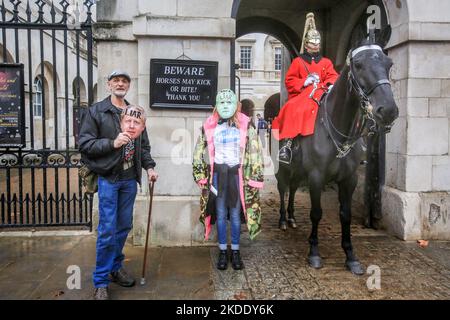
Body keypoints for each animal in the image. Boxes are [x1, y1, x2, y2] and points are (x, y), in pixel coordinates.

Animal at [274, 34, 398, 276]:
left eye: (389, 64)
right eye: (358, 65)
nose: (388, 110)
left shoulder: (349, 179)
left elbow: (346, 215)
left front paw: (350, 256)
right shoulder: (316, 176)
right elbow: (316, 213)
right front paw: (314, 252)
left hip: (298, 170)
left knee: (292, 188)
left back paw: (292, 217)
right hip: (285, 167)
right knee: (283, 188)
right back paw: (283, 219)